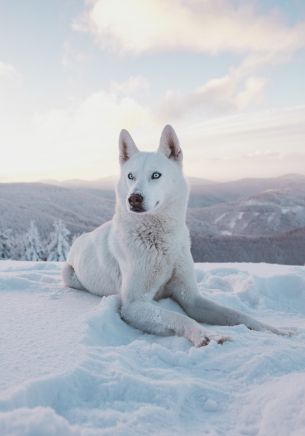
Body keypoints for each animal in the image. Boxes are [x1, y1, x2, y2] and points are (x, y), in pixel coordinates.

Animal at [63, 124, 288, 346]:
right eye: (130, 176)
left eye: (156, 175)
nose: (134, 198)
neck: (160, 241)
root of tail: (80, 239)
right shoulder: (134, 305)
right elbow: (179, 317)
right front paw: (206, 335)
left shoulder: (191, 298)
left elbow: (236, 314)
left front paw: (274, 330)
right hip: (69, 275)